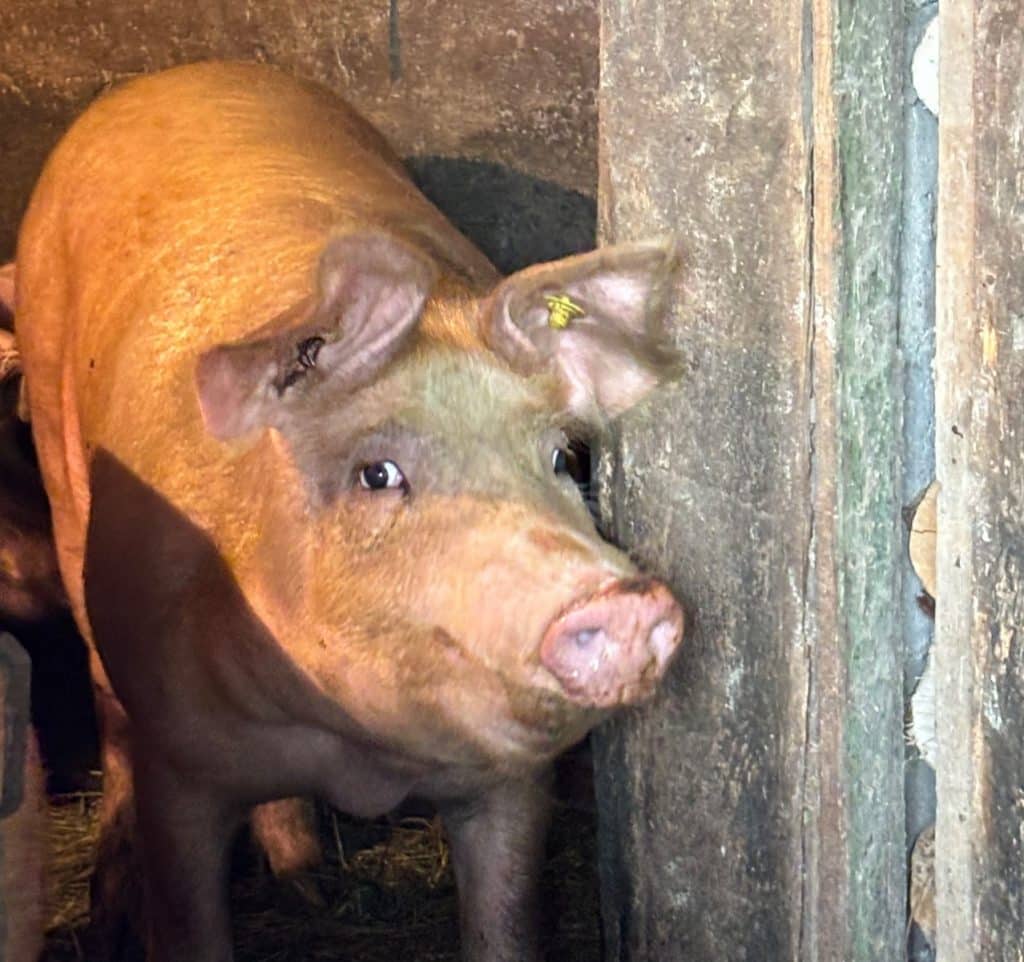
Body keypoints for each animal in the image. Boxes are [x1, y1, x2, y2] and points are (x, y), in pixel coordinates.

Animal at [15, 61, 684, 962]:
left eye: (560, 458)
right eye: (377, 473)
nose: (624, 598)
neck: (356, 753)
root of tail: (170, 76)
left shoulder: (512, 784)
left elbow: (503, 922)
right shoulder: (178, 770)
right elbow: (189, 918)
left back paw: (312, 884)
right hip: (60, 467)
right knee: (99, 691)